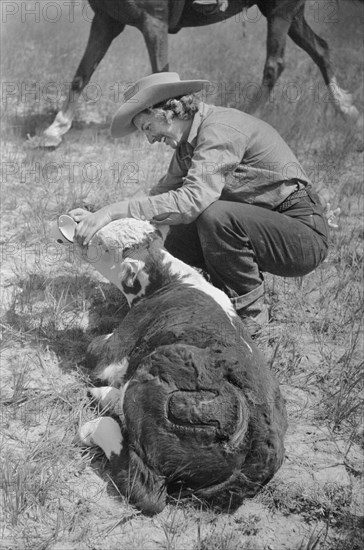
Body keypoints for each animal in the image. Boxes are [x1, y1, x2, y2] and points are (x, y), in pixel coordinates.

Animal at [29, 0, 360, 148]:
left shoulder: (153, 23)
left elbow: (161, 74)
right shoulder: (107, 20)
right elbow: (82, 73)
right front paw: (55, 129)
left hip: (280, 11)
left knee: (275, 64)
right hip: (290, 12)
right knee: (321, 49)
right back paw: (347, 111)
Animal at [57, 218, 288, 516]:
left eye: (101, 245)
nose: (79, 240)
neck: (174, 279)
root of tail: (263, 442)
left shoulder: (114, 350)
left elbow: (94, 350)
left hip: (157, 372)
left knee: (147, 491)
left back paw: (94, 425)